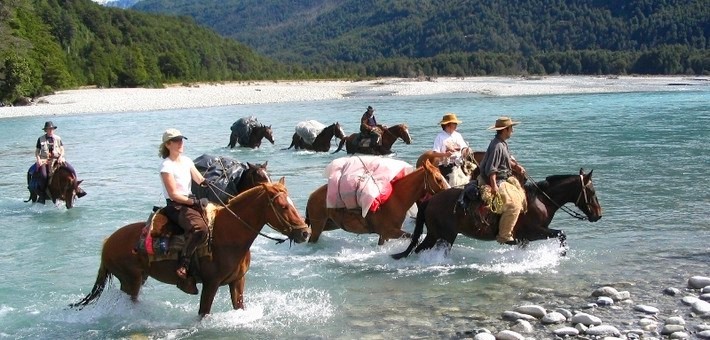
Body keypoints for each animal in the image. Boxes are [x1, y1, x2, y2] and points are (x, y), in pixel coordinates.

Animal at [70, 179, 312, 314]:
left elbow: (239, 307)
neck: (229, 234)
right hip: (131, 281)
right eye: (282, 206)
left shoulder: (237, 281)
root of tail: (107, 243)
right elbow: (203, 312)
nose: (305, 232)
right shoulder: (211, 284)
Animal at [306, 159, 450, 244]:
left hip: (329, 224)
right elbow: (412, 236)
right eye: (438, 179)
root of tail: (312, 195)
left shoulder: (385, 235)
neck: (397, 198)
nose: (449, 191)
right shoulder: (389, 231)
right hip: (318, 225)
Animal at [392, 169, 604, 258]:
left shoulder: (524, 239)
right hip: (445, 237)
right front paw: (561, 254)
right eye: (591, 191)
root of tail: (430, 200)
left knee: (418, 249)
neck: (540, 200)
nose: (598, 215)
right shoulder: (534, 232)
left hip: (435, 235)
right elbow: (561, 234)